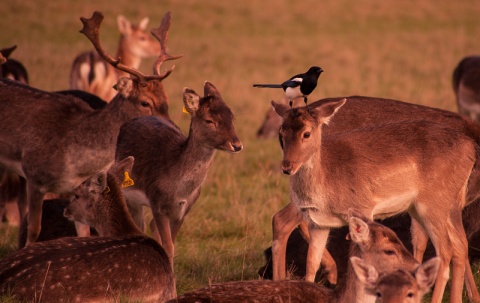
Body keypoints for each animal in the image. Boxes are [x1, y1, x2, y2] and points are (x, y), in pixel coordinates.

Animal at [0, 10, 182, 247]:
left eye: (166, 99)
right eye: (145, 102)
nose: (175, 128)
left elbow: (84, 231)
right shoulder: (34, 176)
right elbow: (33, 230)